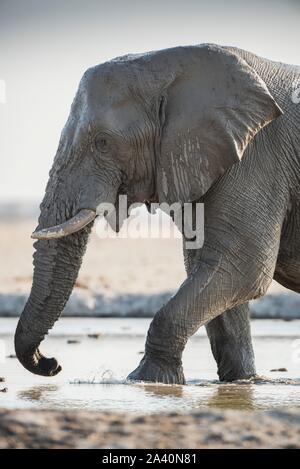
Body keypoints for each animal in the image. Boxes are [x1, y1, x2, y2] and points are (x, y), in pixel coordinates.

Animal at [14, 43, 300, 384]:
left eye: (102, 142)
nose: (52, 363)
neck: (170, 64)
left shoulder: (256, 158)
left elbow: (243, 269)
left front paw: (145, 378)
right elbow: (212, 269)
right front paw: (242, 382)